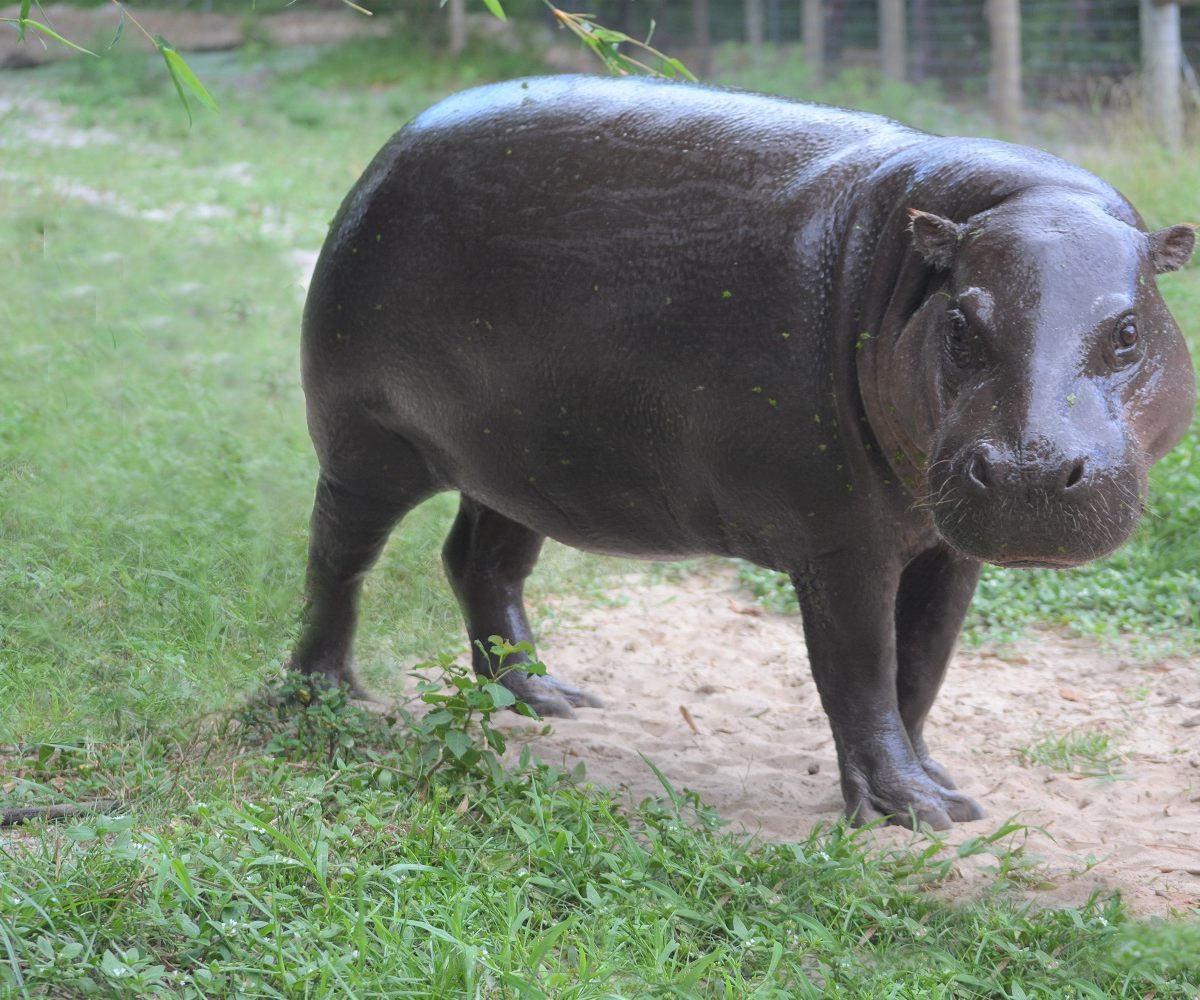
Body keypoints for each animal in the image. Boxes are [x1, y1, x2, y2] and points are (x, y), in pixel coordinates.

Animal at [289, 75, 1195, 829]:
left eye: (1127, 330)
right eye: (963, 325)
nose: (1031, 469)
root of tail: (388, 151)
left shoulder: (946, 546)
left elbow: (922, 668)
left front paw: (937, 782)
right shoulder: (840, 546)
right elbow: (862, 670)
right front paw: (913, 811)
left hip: (525, 461)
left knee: (480, 562)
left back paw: (543, 700)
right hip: (368, 444)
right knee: (338, 560)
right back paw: (326, 695)